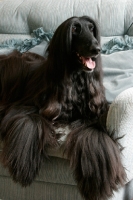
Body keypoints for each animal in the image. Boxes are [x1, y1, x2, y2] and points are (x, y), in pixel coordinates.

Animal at [0, 16, 125, 200]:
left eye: (91, 28)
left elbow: (97, 128)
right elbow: (31, 120)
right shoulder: (24, 105)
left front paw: (99, 175)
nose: (97, 49)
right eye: (75, 29)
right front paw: (24, 165)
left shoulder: (95, 110)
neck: (75, 81)